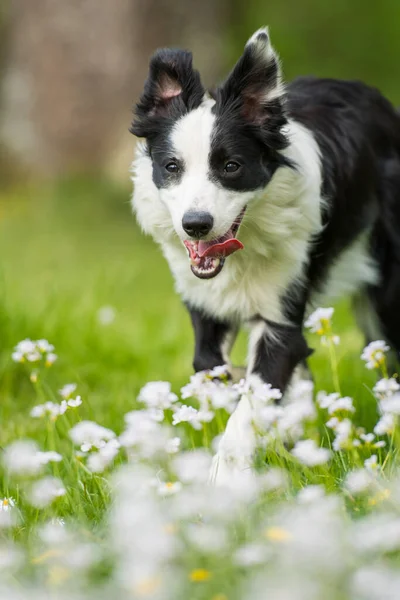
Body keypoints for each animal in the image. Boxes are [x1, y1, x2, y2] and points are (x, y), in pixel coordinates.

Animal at [130, 29, 400, 482]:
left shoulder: (281, 314)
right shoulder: (205, 300)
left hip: (384, 291)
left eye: (231, 166)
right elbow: (208, 366)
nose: (196, 224)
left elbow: (256, 394)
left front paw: (222, 479)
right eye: (171, 167)